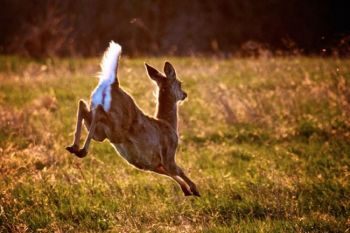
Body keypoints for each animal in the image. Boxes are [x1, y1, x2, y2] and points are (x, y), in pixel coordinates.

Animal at [65, 41, 200, 197]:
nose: (185, 94)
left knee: (82, 105)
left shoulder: (154, 164)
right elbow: (179, 170)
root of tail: (113, 84)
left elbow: (170, 174)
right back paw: (81, 151)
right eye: (180, 83)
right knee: (99, 112)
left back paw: (74, 147)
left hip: (102, 131)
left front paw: (187, 191)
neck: (168, 124)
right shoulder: (169, 154)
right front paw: (195, 190)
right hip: (116, 127)